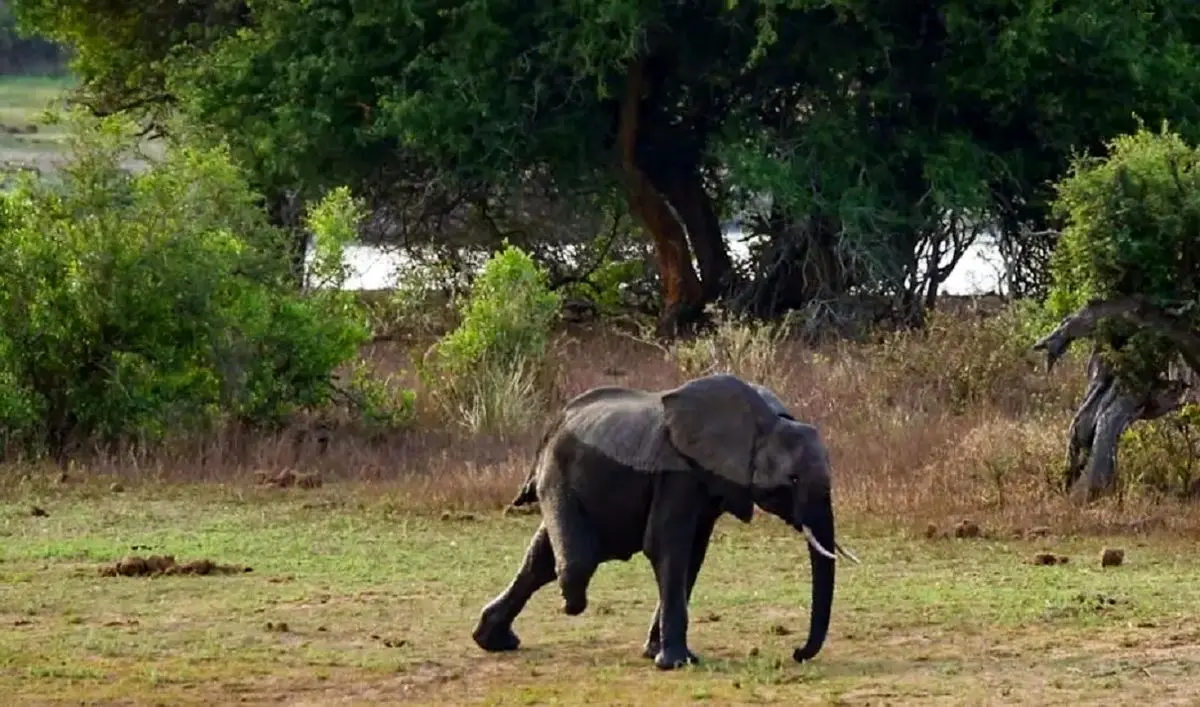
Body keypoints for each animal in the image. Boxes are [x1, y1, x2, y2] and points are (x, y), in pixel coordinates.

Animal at [472, 372, 859, 672]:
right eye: (792, 479)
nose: (796, 652)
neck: (764, 423)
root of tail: (552, 426)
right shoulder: (678, 474)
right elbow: (666, 546)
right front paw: (676, 663)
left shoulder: (708, 483)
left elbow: (693, 555)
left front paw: (655, 653)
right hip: (559, 472)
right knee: (575, 559)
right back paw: (568, 604)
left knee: (540, 560)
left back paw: (494, 641)